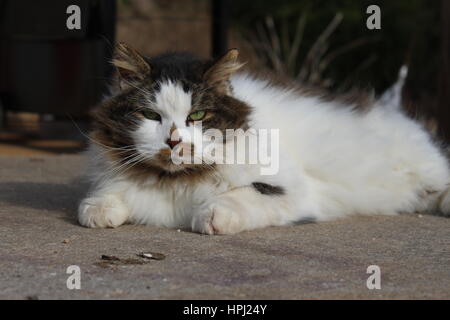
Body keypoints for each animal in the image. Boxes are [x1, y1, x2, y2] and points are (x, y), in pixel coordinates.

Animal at [77, 42, 450, 234]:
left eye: (197, 116)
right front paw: (99, 210)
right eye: (151, 116)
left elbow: (241, 195)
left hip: (424, 167)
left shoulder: (290, 189)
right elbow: (103, 197)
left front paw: (211, 216)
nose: (174, 142)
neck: (176, 182)